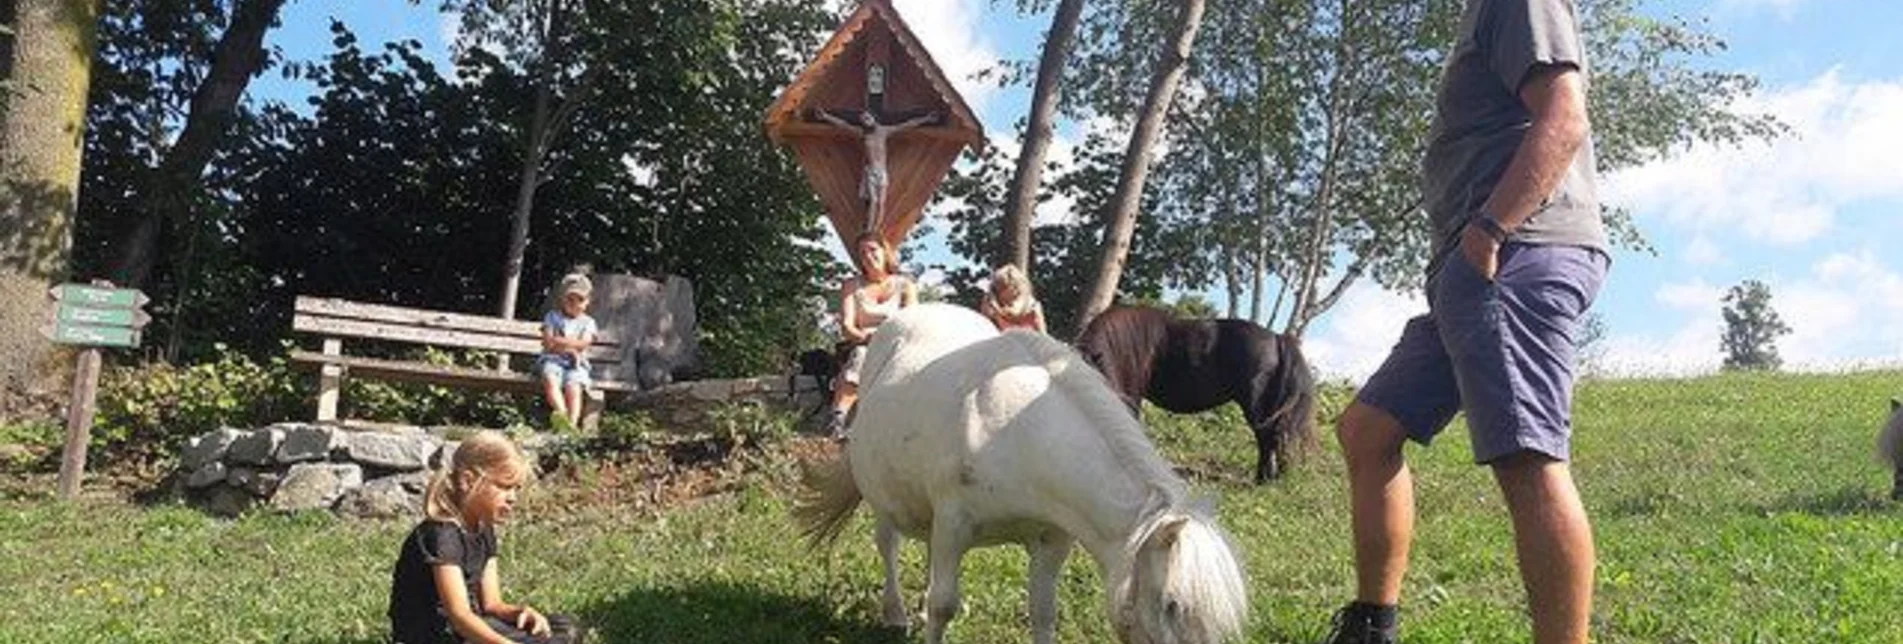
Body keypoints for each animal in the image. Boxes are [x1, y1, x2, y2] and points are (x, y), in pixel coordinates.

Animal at [791, 304, 1248, 644]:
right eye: (1172, 605)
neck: (1016, 434)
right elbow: (944, 605)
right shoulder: (955, 523)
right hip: (883, 495)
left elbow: (1043, 613)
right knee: (888, 544)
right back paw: (897, 614)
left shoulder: (1051, 540)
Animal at [1080, 304, 1316, 480]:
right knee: (1276, 438)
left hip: (1257, 406)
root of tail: (1276, 338)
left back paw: (1263, 480)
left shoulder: (1131, 393)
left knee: (1268, 438)